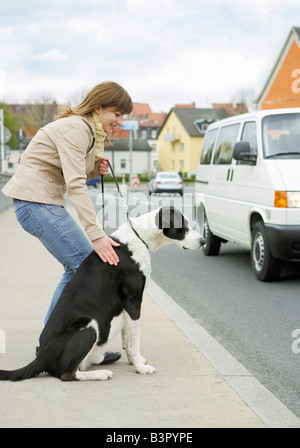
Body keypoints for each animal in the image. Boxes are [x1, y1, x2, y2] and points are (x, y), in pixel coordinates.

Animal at [0, 206, 205, 382]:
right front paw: (140, 367)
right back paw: (101, 373)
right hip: (89, 326)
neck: (140, 237)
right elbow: (135, 339)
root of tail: (42, 357)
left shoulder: (126, 308)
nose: (203, 241)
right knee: (67, 374)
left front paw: (135, 361)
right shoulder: (133, 302)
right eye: (183, 226)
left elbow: (128, 338)